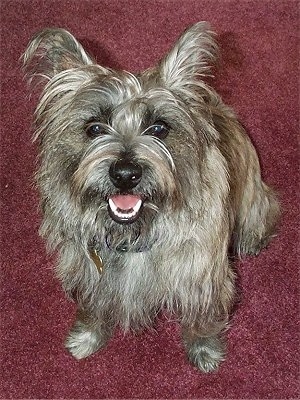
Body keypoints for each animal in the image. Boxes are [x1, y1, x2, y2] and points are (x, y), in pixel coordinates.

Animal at [22, 22, 278, 372]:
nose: (125, 173)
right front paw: (87, 337)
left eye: (159, 128)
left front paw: (205, 351)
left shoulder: (202, 276)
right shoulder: (89, 272)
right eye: (94, 127)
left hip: (253, 202)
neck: (132, 235)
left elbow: (202, 317)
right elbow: (93, 305)